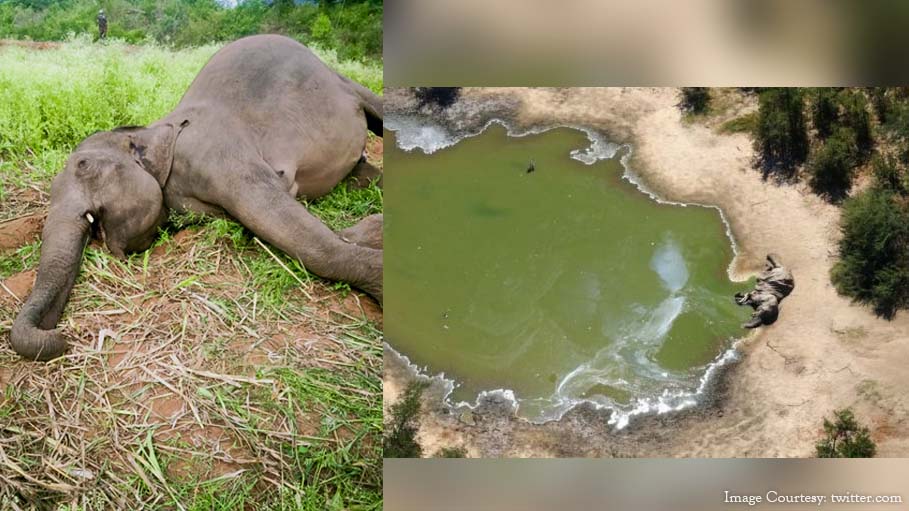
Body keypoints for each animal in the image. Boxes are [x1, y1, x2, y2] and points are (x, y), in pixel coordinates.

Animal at [9, 35, 383, 361]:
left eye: (84, 166)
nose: (60, 335)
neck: (154, 129)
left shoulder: (216, 154)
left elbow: (287, 225)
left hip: (342, 82)